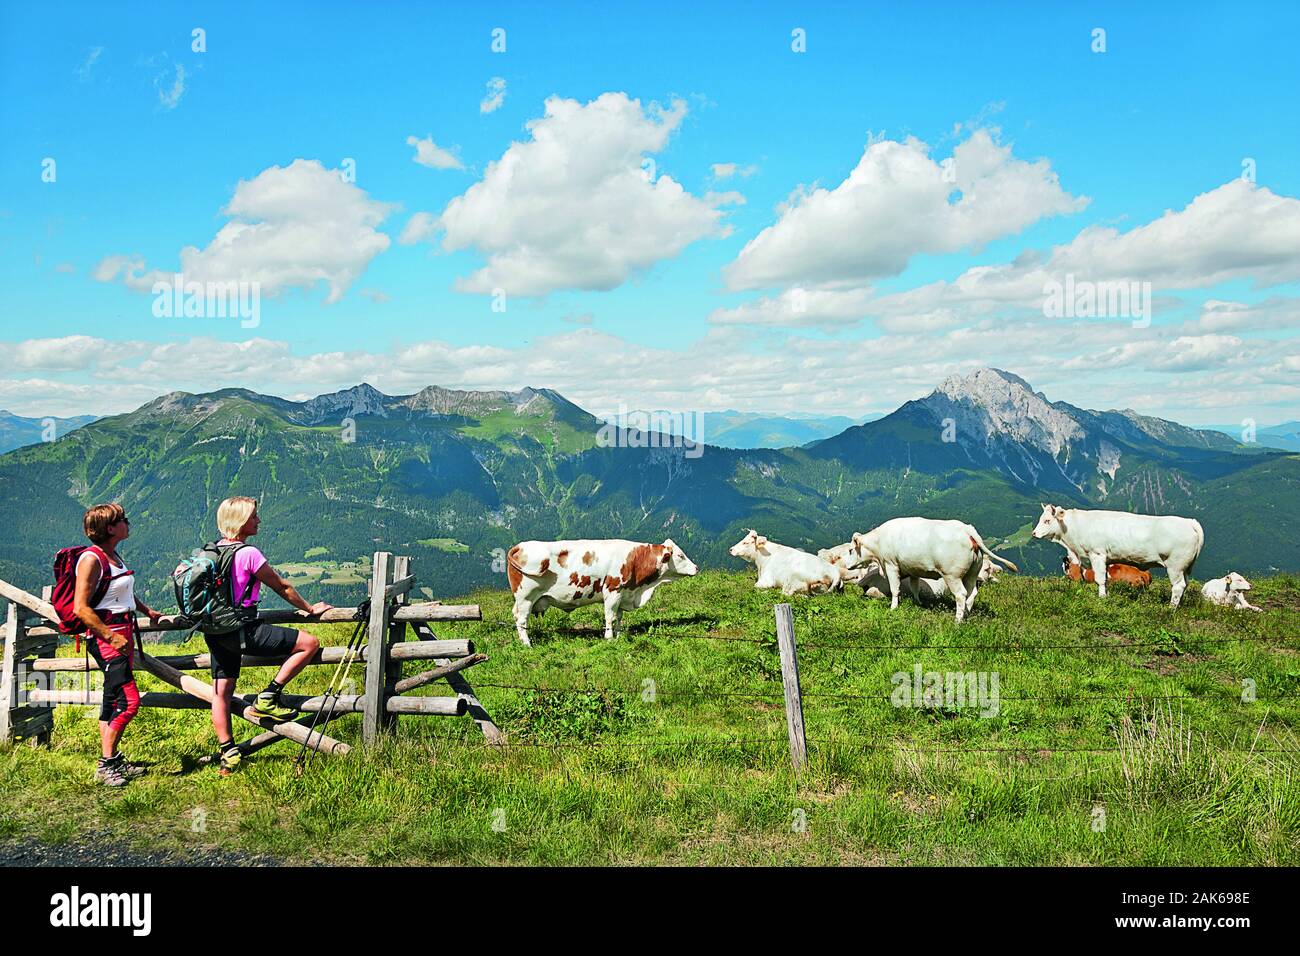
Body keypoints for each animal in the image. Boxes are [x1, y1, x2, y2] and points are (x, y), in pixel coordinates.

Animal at [504, 538, 702, 642]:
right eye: (680, 555)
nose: (697, 567)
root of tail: (520, 546)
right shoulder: (613, 590)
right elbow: (610, 616)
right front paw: (609, 637)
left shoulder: (623, 594)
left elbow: (619, 617)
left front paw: (619, 635)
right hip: (526, 597)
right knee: (521, 619)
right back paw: (527, 643)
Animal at [847, 520, 1019, 624]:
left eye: (850, 550)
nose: (847, 565)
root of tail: (967, 530)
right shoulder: (913, 570)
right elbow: (915, 587)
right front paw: (918, 602)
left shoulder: (891, 565)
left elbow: (895, 589)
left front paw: (894, 607)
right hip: (972, 574)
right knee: (972, 594)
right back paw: (966, 614)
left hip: (953, 575)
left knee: (961, 595)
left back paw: (957, 621)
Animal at [1034, 504, 1206, 608]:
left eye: (1047, 520)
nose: (1034, 533)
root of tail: (1190, 522)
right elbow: (1102, 579)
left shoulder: (1097, 554)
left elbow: (1099, 579)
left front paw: (1101, 598)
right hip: (1186, 567)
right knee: (1186, 584)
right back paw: (1179, 605)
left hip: (1175, 566)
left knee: (1178, 586)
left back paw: (1171, 608)